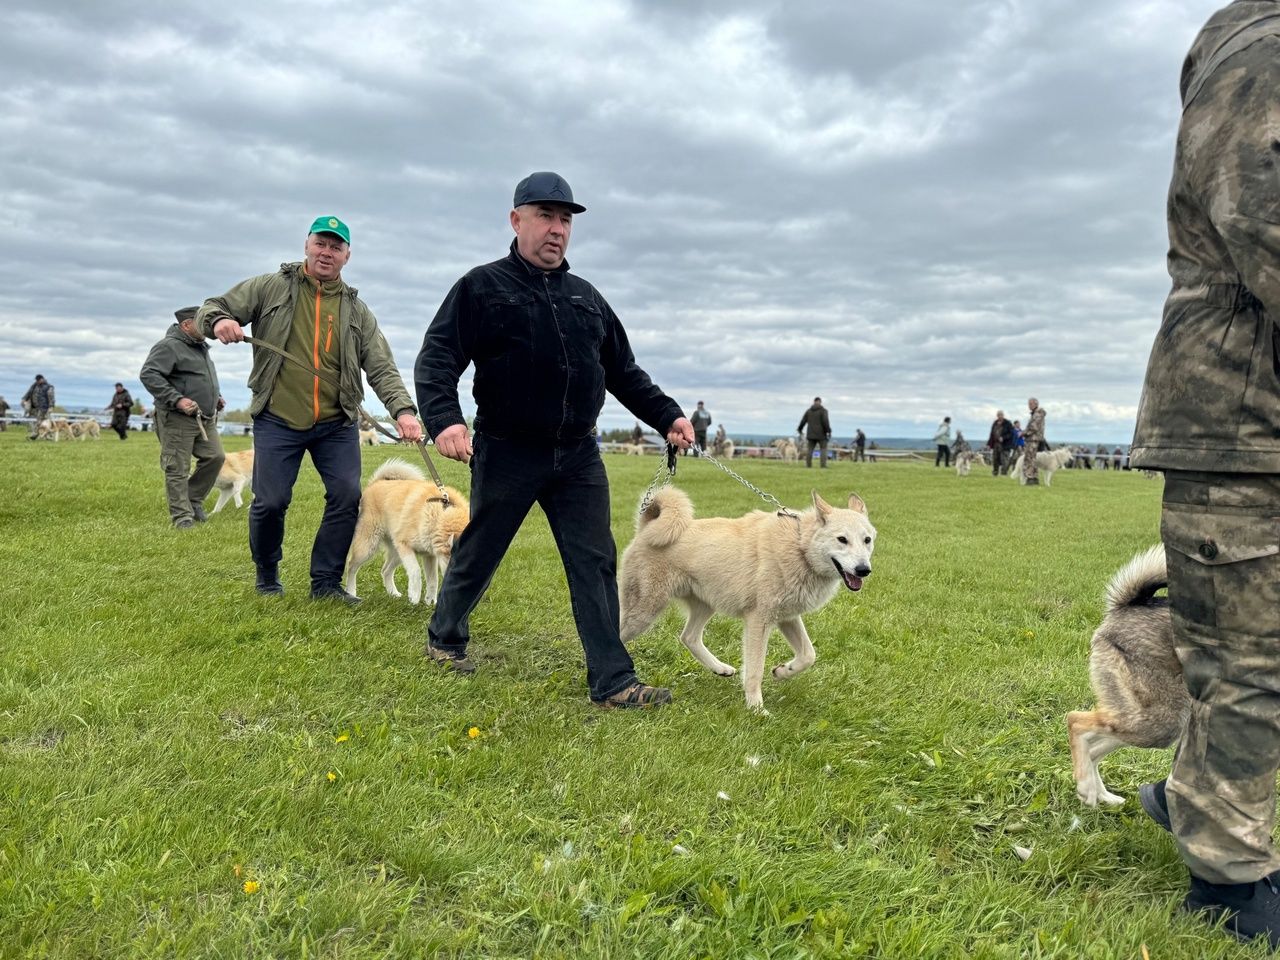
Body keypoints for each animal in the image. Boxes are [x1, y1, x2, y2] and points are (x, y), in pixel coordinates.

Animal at [345, 463, 471, 604]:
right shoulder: (404, 544)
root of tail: (376, 482)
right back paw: (351, 592)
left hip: (396, 553)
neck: (440, 514)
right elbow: (416, 571)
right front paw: (414, 596)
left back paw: (393, 593)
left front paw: (430, 601)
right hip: (368, 546)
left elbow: (433, 580)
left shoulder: (429, 555)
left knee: (385, 570)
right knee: (351, 566)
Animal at [622, 491, 880, 711]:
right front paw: (756, 709)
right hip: (644, 611)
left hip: (706, 604)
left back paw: (720, 668)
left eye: (867, 540)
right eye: (842, 539)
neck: (800, 547)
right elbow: (755, 670)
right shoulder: (759, 621)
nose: (864, 570)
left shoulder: (787, 617)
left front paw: (783, 671)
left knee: (689, 637)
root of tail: (646, 527)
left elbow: (808, 655)